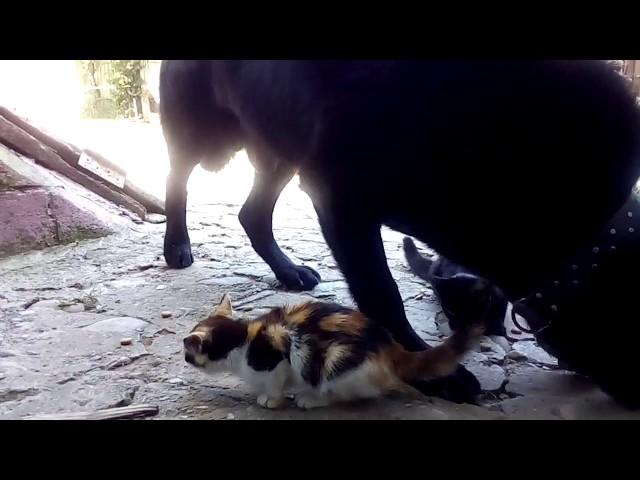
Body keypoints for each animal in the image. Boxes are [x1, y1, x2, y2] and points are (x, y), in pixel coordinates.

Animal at [182, 292, 482, 408]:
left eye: (188, 353)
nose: (184, 358)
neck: (242, 339)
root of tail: (390, 346)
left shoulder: (278, 357)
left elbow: (276, 382)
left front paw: (271, 399)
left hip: (336, 361)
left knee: (345, 394)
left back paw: (311, 398)